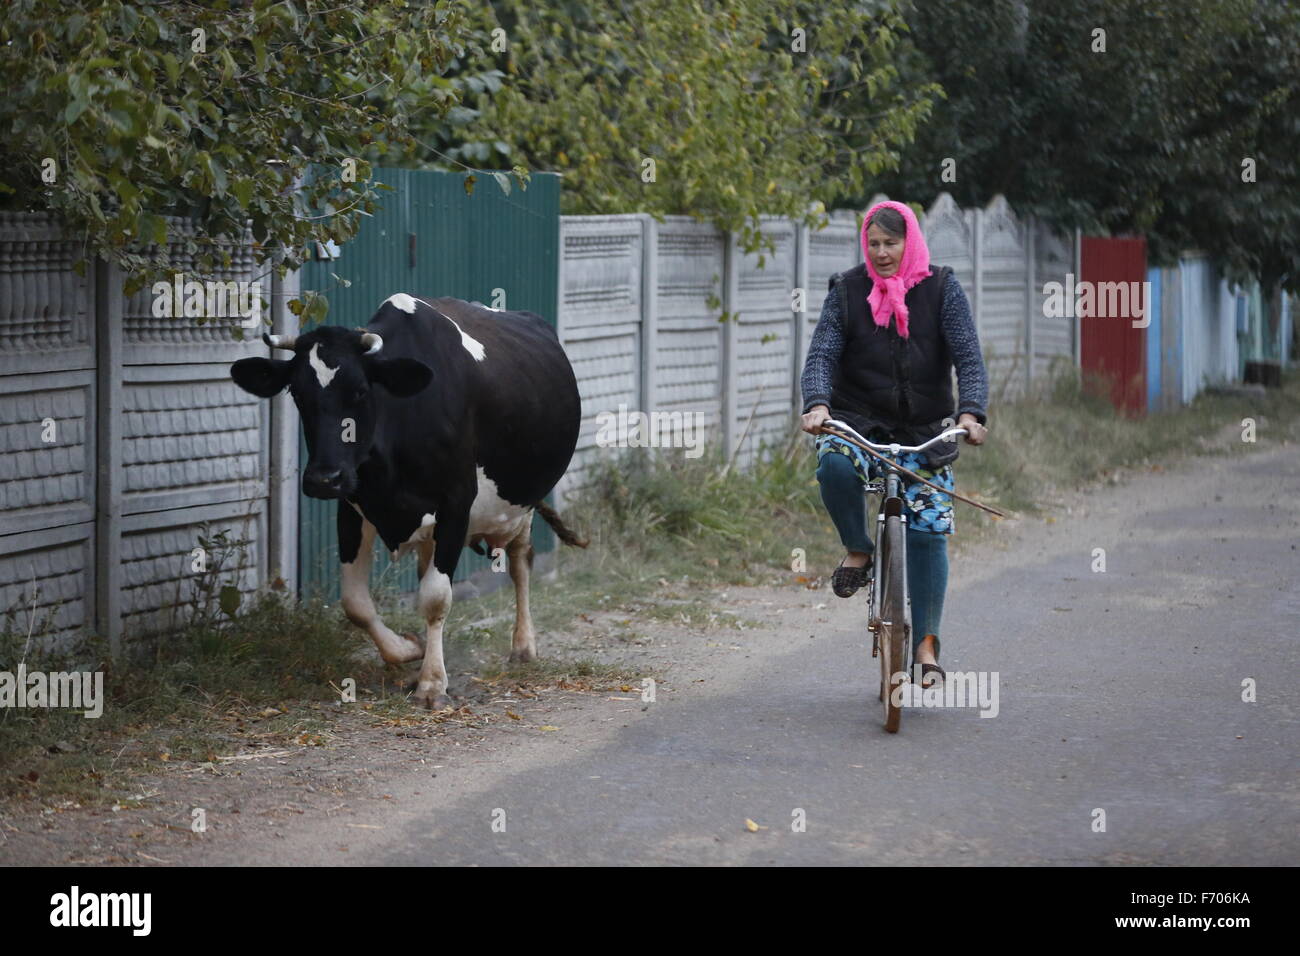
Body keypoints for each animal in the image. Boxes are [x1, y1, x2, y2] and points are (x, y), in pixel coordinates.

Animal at [230, 295, 585, 707]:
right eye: (298, 394)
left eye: (360, 391)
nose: (323, 479)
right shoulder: (351, 508)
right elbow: (356, 603)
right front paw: (411, 651)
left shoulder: (456, 505)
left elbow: (436, 597)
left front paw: (432, 683)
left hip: (522, 502)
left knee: (520, 561)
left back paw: (523, 645)